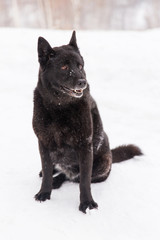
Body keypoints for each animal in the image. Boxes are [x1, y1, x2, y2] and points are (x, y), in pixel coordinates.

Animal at [32, 31, 141, 213]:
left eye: (80, 66)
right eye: (64, 67)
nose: (82, 82)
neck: (59, 107)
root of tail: (111, 154)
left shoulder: (84, 146)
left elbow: (84, 181)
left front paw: (87, 203)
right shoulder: (44, 143)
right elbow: (47, 171)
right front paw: (44, 193)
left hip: (101, 164)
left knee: (72, 176)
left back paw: (58, 180)